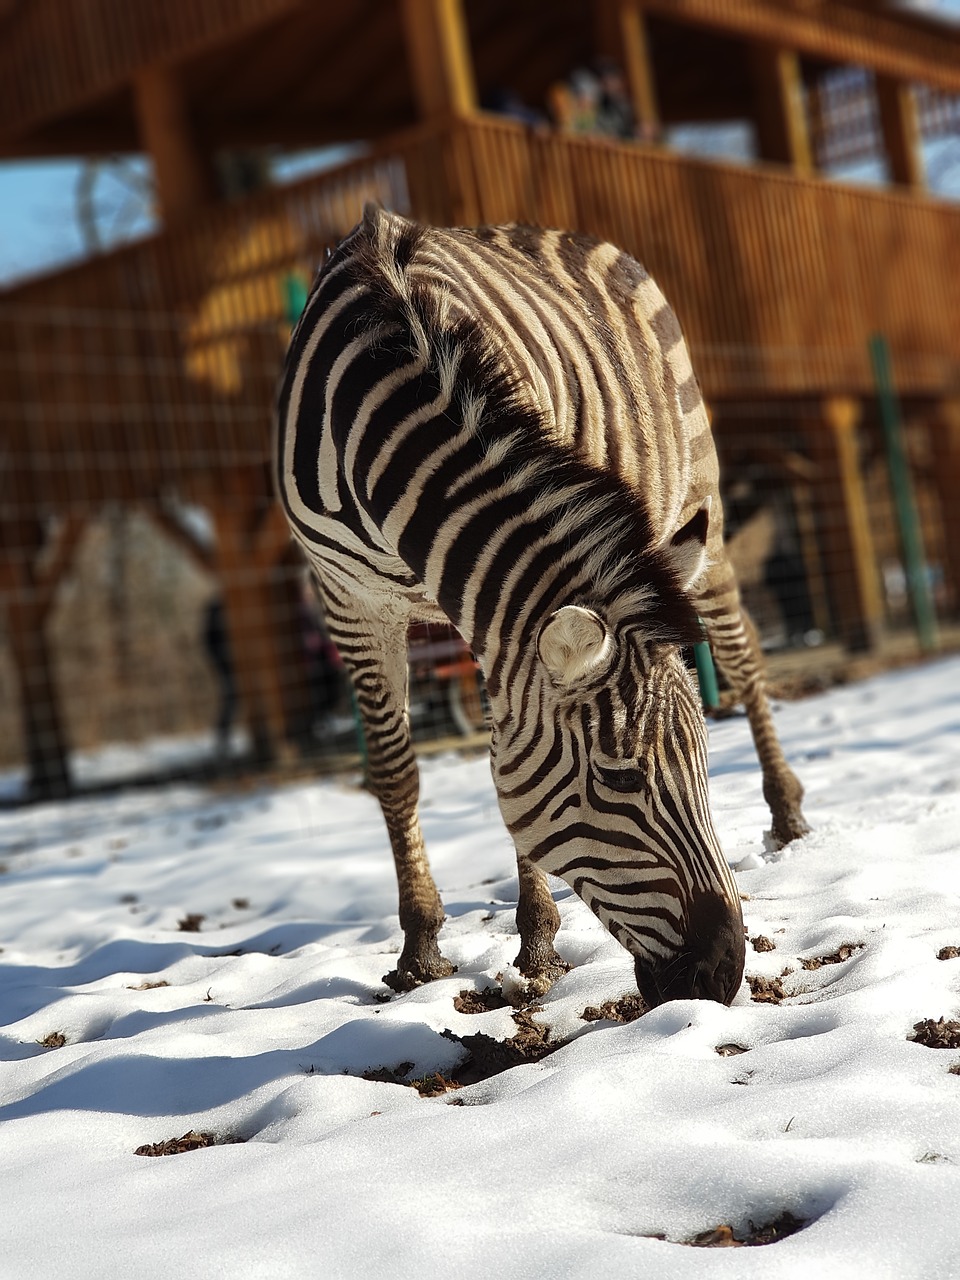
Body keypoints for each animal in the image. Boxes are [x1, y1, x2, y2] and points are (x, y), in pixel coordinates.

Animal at [277, 204, 814, 1008]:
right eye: (621, 778)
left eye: (701, 760)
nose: (721, 977)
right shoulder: (349, 602)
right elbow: (396, 774)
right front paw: (420, 948)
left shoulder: (491, 607)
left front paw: (535, 941)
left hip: (700, 502)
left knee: (743, 653)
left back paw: (786, 812)